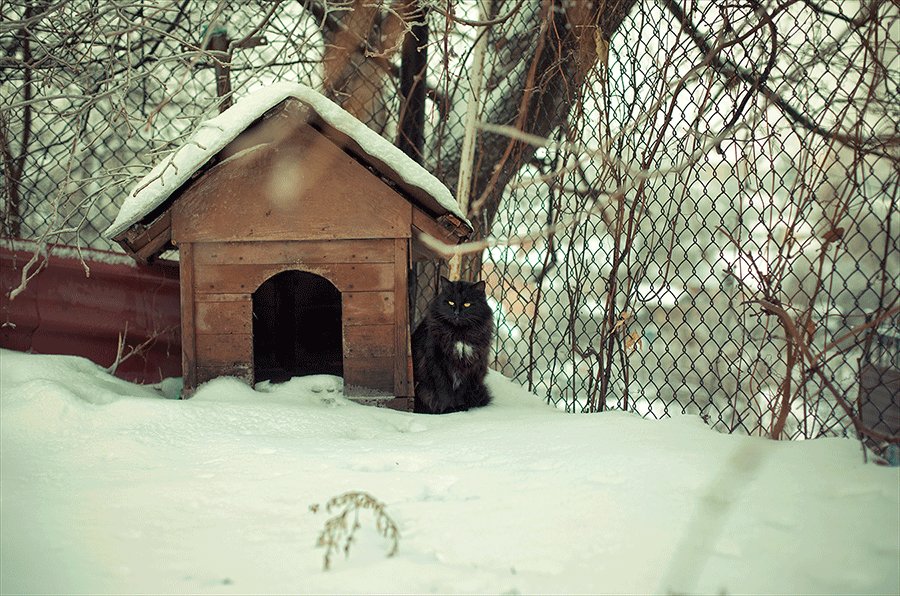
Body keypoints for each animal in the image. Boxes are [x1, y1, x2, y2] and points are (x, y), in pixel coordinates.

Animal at [414, 276, 496, 412]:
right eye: (450, 302)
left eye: (467, 304)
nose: (456, 313)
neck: (459, 333)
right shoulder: (437, 363)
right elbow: (444, 391)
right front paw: (448, 409)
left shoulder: (468, 366)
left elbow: (460, 391)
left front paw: (460, 407)